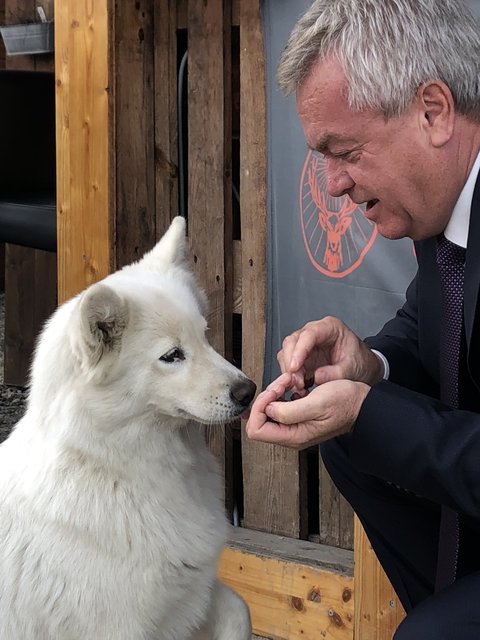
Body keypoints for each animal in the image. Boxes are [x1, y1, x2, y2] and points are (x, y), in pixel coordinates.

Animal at [0, 216, 255, 640]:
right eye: (172, 355)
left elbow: (240, 609)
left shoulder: (188, 601)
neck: (114, 467)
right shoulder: (121, 627)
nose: (248, 391)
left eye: (204, 337)